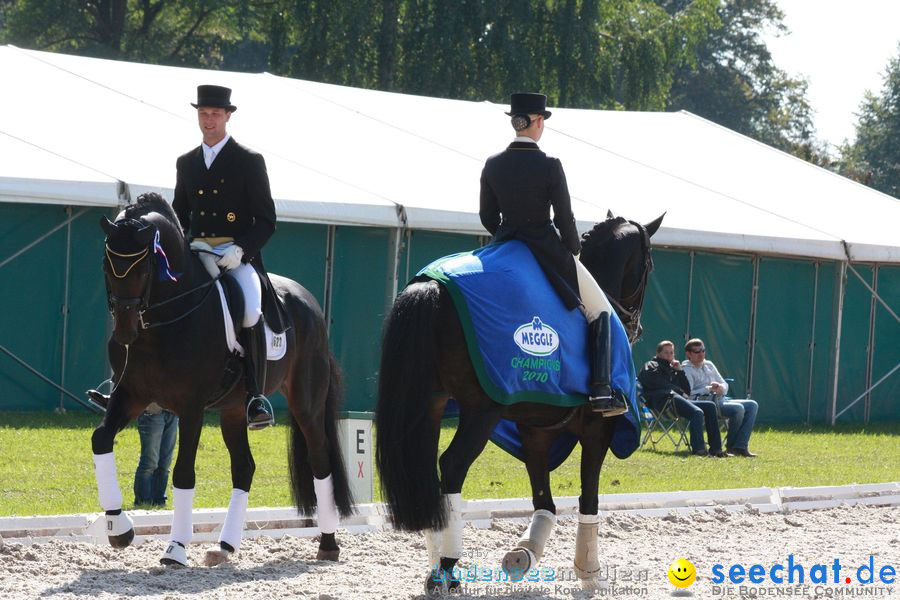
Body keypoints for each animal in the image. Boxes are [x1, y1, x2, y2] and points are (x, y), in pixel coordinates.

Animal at [90, 193, 352, 568]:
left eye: (143, 267)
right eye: (106, 263)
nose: (125, 334)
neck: (167, 317)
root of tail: (311, 304)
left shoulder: (191, 406)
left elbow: (183, 472)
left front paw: (175, 548)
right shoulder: (132, 395)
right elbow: (100, 440)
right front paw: (118, 528)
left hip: (306, 403)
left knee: (319, 462)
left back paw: (328, 544)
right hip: (233, 409)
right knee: (244, 467)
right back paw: (225, 546)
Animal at [372, 213, 660, 592]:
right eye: (649, 264)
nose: (637, 327)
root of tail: (431, 287)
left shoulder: (534, 430)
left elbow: (544, 501)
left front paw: (525, 554)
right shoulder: (599, 428)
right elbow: (589, 497)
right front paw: (589, 572)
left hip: (430, 405)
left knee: (429, 472)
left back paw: (437, 570)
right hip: (481, 411)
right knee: (452, 466)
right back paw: (447, 567)